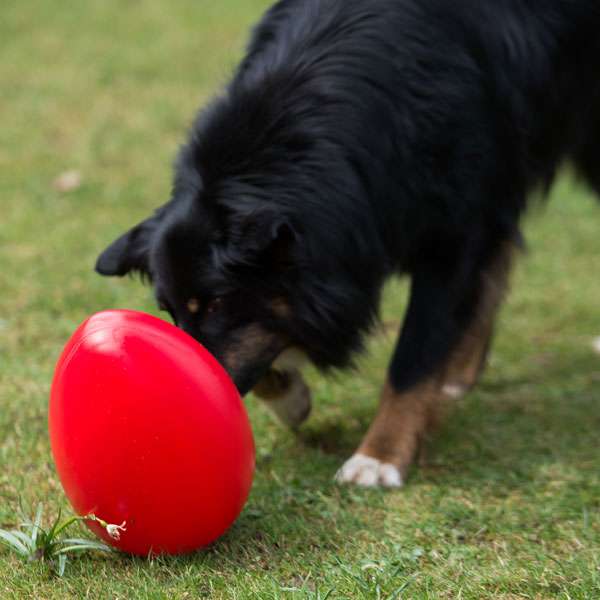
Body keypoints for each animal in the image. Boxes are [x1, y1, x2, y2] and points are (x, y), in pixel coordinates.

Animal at [95, 0, 600, 488]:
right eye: (169, 311)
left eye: (218, 302)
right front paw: (292, 397)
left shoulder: (454, 231)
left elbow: (414, 354)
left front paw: (379, 458)